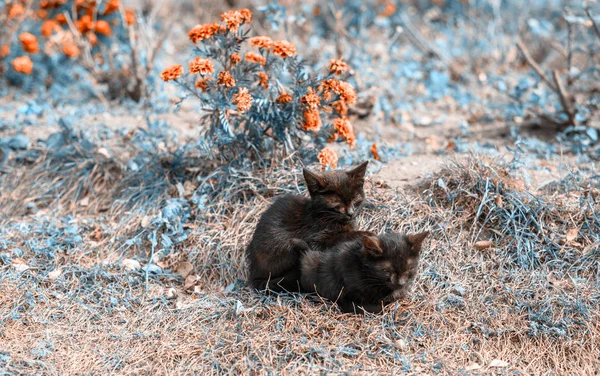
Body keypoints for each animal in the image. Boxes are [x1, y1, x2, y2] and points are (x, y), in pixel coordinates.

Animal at [244, 160, 370, 292]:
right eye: (337, 206)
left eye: (355, 200)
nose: (351, 214)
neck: (322, 215)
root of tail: (253, 272)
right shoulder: (315, 240)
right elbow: (340, 237)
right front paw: (366, 234)